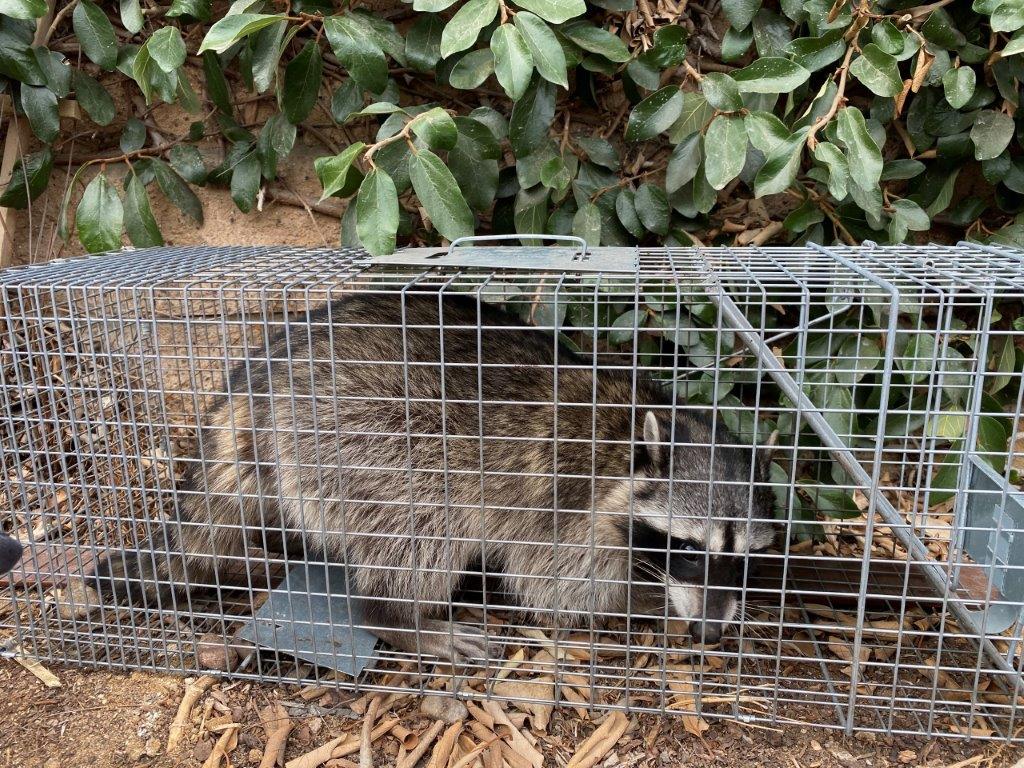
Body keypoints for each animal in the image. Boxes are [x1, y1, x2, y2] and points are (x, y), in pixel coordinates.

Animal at [95, 290, 777, 661]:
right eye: (689, 549)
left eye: (742, 558)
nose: (713, 629)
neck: (639, 430)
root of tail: (263, 375)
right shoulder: (562, 500)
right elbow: (556, 587)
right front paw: (645, 599)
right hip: (362, 436)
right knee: (421, 525)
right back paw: (401, 619)